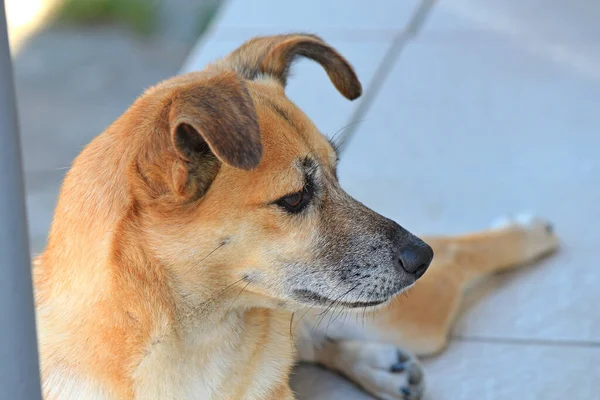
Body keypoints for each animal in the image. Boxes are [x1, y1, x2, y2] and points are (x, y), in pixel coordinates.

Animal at [32, 34, 556, 400]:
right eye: (295, 197)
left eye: (337, 171)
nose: (417, 257)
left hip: (405, 313)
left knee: (452, 259)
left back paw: (529, 233)